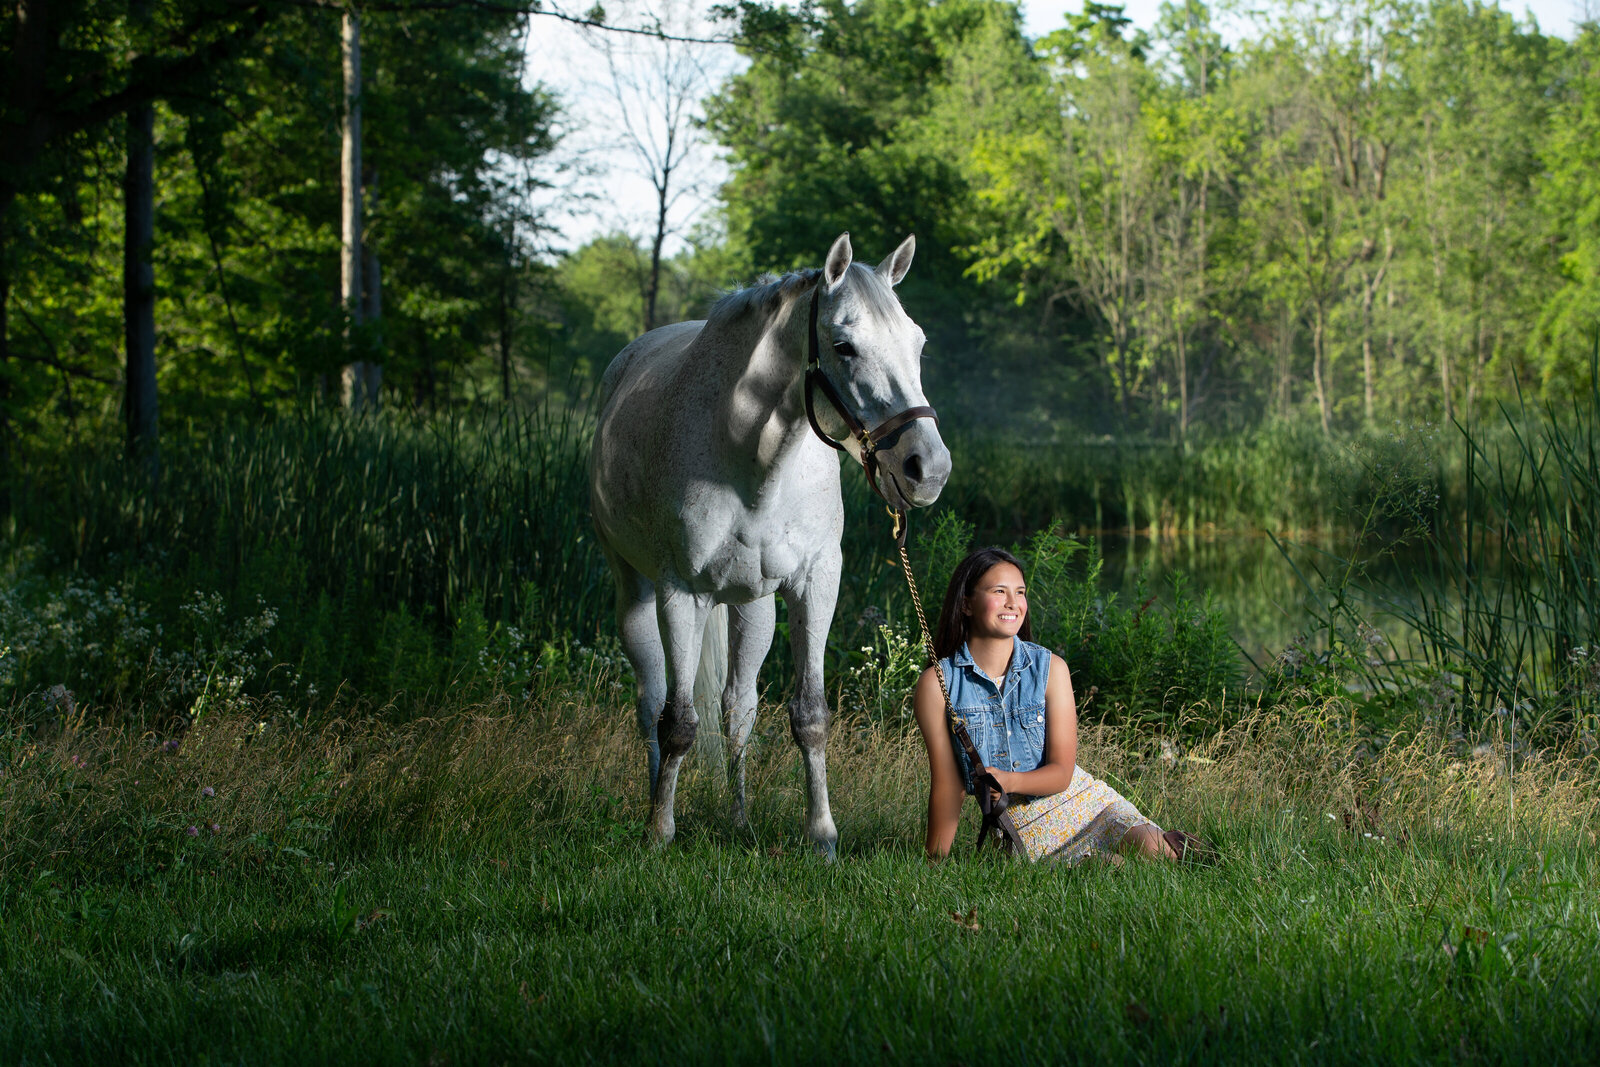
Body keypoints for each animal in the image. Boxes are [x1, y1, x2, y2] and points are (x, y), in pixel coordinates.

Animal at [589, 232, 952, 853]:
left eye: (919, 342)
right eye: (843, 346)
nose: (927, 468)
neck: (753, 461)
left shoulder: (816, 584)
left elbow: (809, 715)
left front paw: (822, 835)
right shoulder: (679, 596)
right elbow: (677, 723)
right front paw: (660, 831)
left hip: (752, 608)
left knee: (738, 710)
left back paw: (739, 820)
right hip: (635, 595)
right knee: (651, 703)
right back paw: (658, 803)